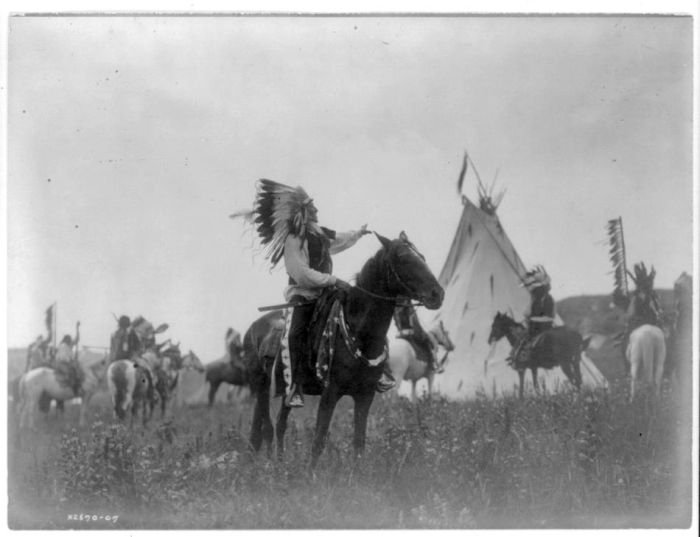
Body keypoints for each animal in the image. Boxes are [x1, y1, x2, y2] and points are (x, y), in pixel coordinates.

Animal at [243, 232, 446, 466]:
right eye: (403, 258)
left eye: (421, 256)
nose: (438, 294)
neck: (358, 331)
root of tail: (253, 328)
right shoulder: (330, 394)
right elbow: (318, 441)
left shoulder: (365, 396)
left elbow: (359, 444)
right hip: (262, 387)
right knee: (268, 428)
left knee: (275, 425)